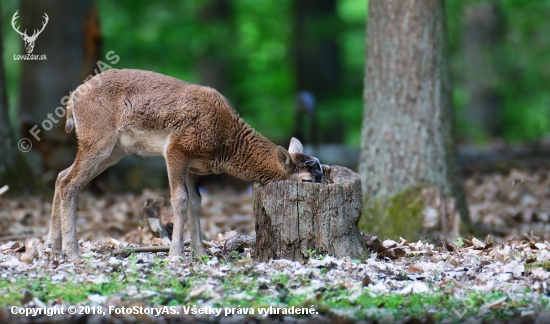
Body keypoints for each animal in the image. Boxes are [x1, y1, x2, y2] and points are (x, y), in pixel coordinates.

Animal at [48, 69, 324, 260]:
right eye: (307, 180)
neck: (225, 145)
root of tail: (72, 100)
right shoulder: (176, 149)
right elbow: (179, 199)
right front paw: (175, 254)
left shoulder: (194, 166)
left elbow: (196, 201)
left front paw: (201, 251)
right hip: (98, 139)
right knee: (71, 182)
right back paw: (72, 252)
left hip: (113, 151)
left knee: (62, 175)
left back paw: (53, 246)